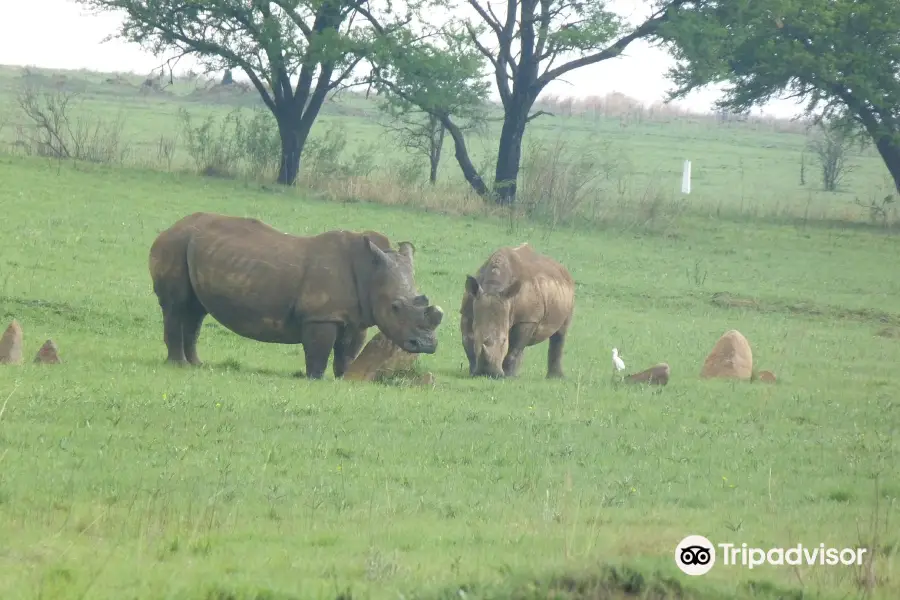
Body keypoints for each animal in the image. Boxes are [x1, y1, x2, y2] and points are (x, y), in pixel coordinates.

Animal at [149, 213, 444, 378]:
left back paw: (196, 364)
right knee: (176, 306)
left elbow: (347, 353)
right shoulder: (320, 315)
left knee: (195, 311)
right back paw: (179, 366)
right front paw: (314, 378)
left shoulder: (358, 317)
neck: (369, 271)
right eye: (395, 307)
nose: (426, 345)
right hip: (174, 244)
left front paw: (344, 377)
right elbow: (318, 351)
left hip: (190, 246)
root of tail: (171, 227)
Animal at [460, 241, 572, 378]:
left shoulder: (528, 319)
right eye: (477, 339)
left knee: (560, 333)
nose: (488, 373)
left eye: (504, 341)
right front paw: (473, 372)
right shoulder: (467, 312)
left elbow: (514, 348)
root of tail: (563, 270)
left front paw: (508, 376)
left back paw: (554, 377)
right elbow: (467, 341)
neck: (493, 287)